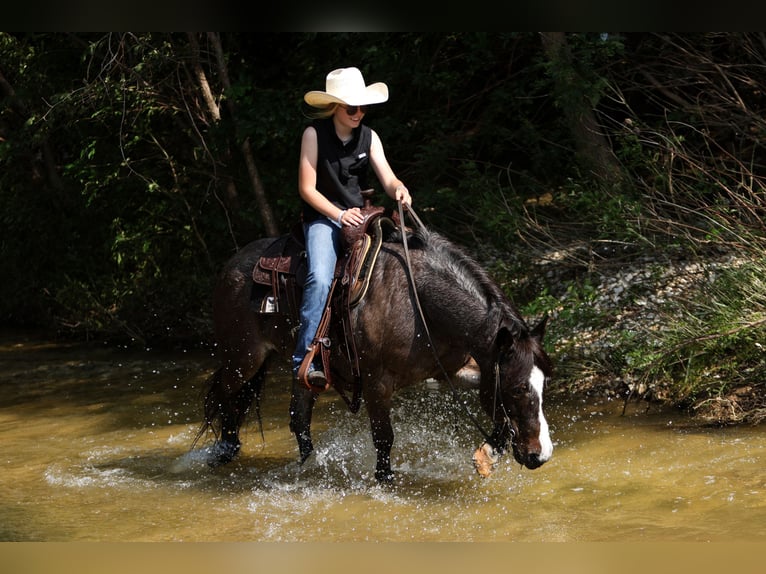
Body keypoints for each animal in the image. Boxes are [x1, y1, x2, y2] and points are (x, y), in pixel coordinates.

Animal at [195, 218, 556, 484]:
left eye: (543, 385)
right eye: (517, 388)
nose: (540, 456)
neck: (421, 303)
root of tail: (231, 265)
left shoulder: (452, 370)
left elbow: (497, 413)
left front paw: (485, 457)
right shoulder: (375, 383)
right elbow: (384, 438)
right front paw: (385, 482)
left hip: (301, 371)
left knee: (298, 419)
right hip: (244, 358)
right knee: (224, 394)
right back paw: (225, 448)